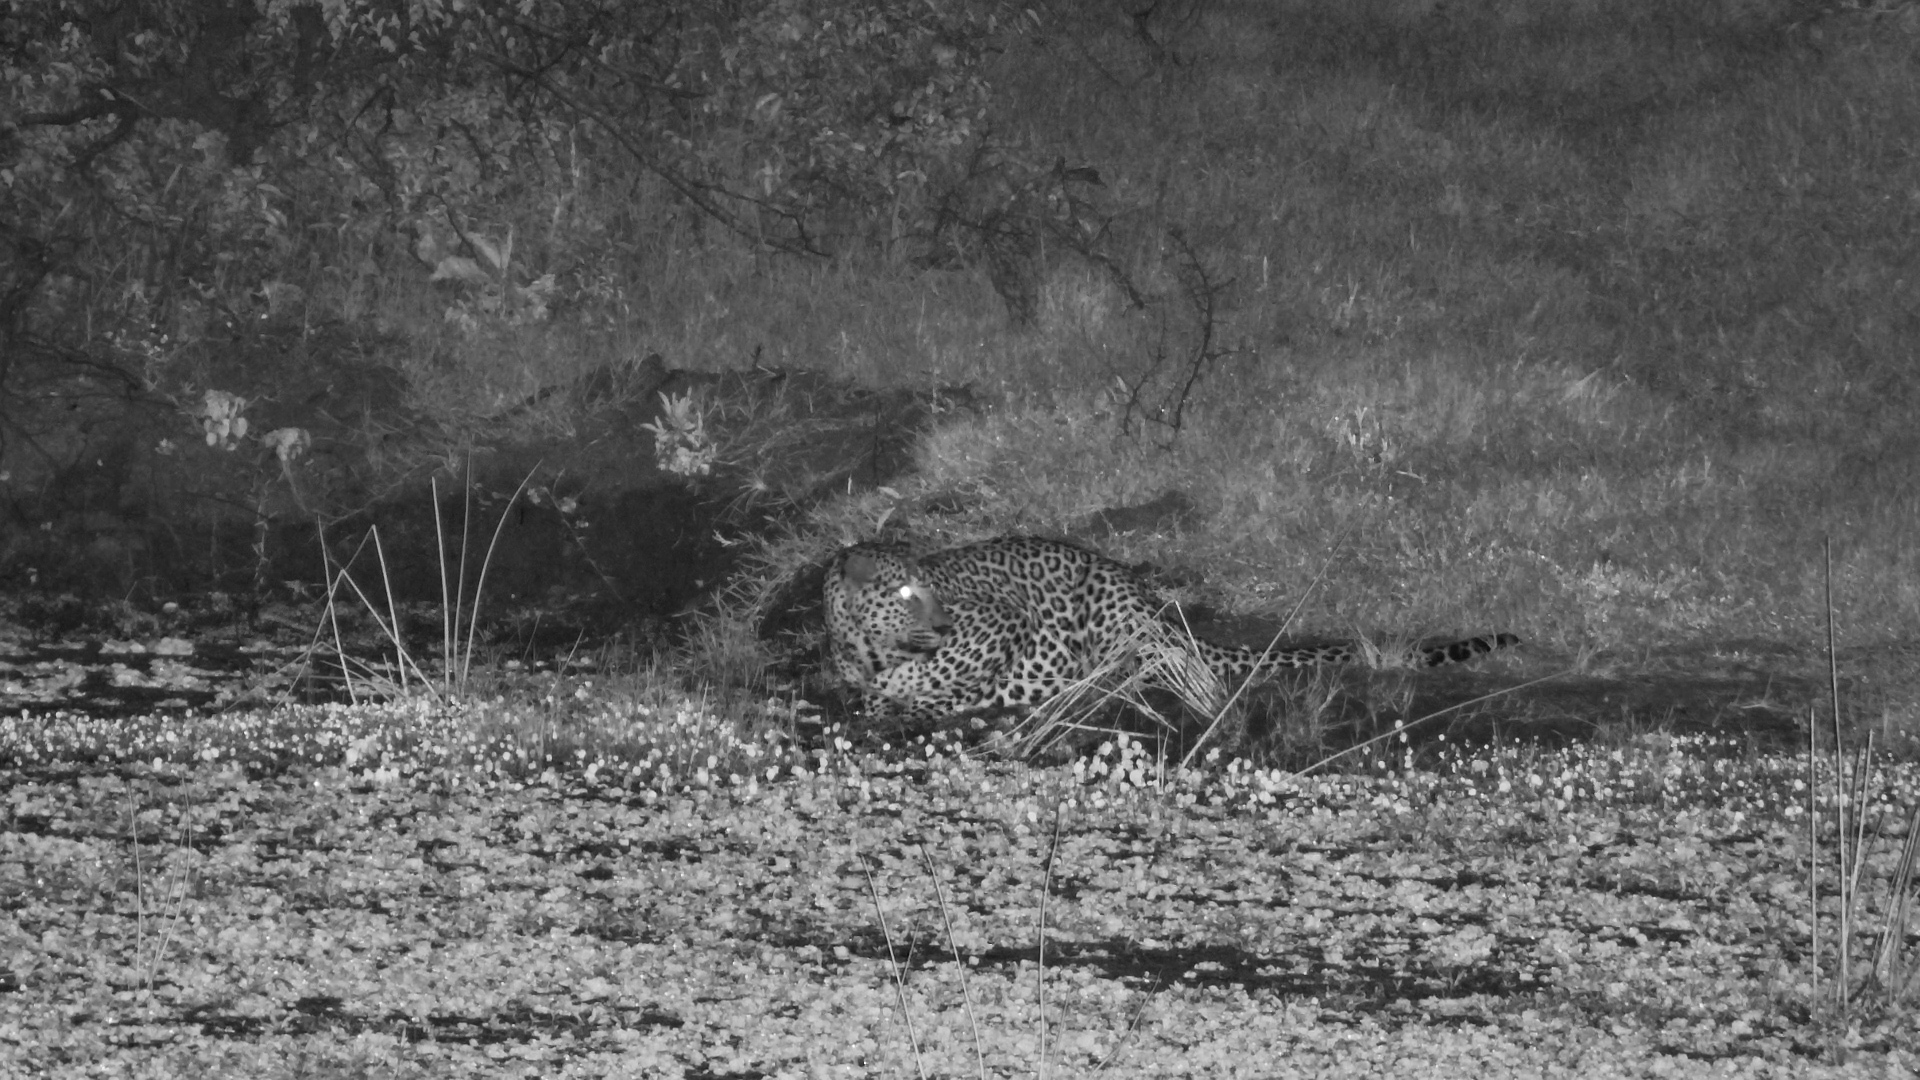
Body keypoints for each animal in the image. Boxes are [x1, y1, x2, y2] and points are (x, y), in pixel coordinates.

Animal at [824, 535, 1518, 721]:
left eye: (936, 593)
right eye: (907, 594)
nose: (942, 623)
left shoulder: (1002, 619)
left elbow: (931, 672)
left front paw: (909, 690)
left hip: (1112, 619)